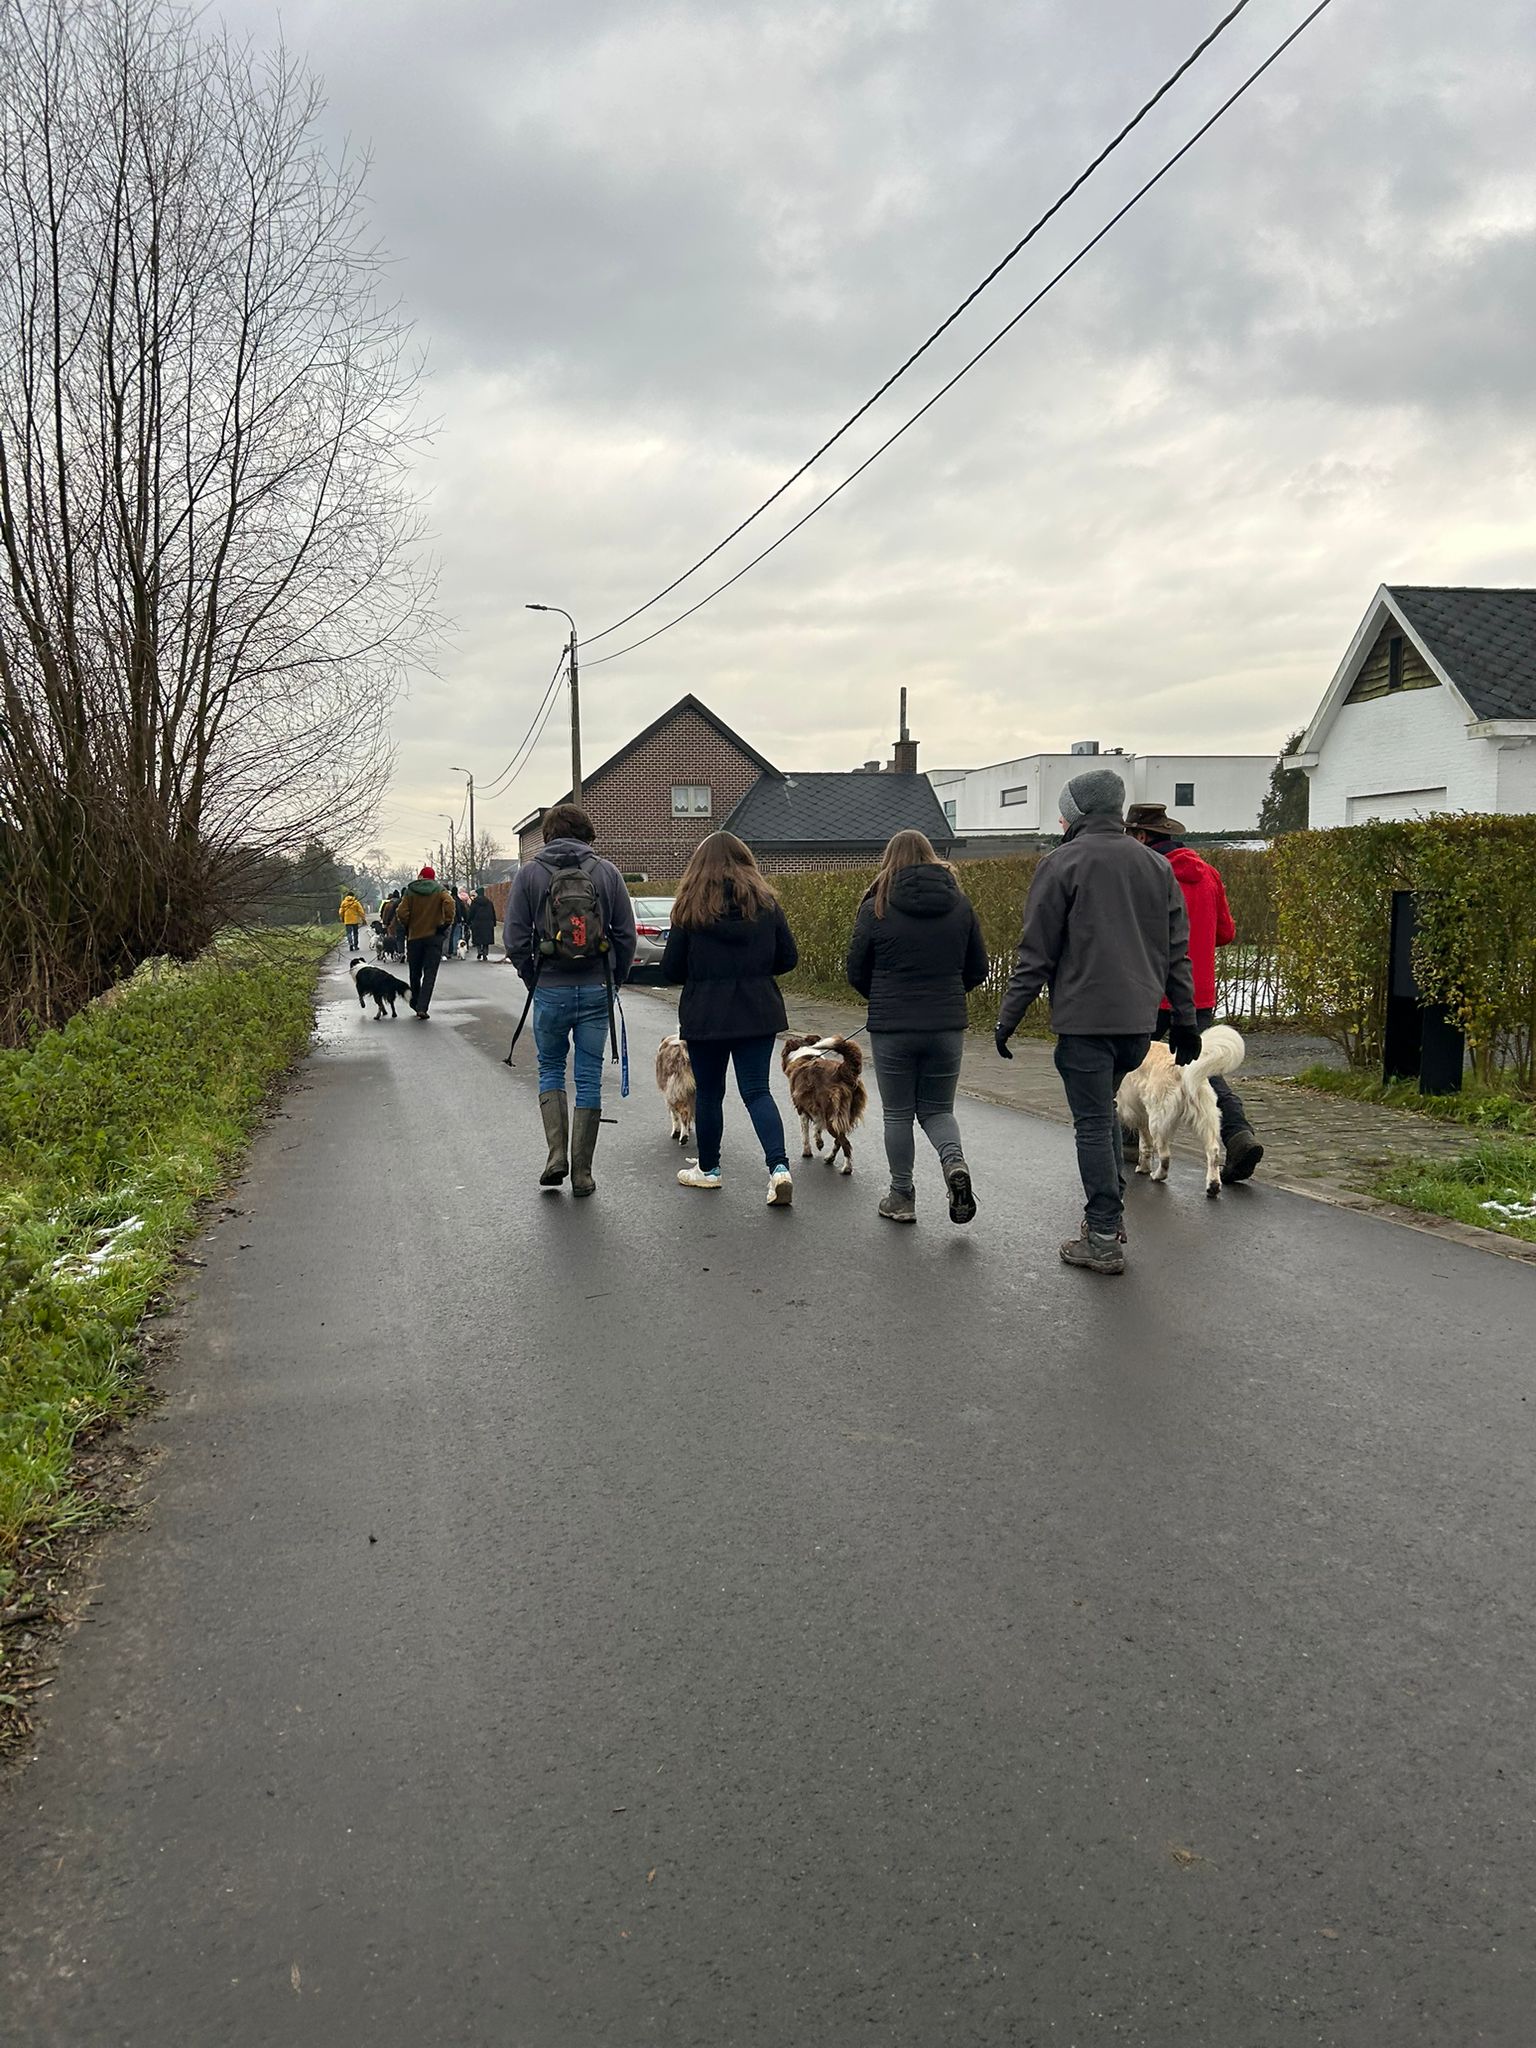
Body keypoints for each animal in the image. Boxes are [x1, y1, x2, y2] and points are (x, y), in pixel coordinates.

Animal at [780, 1033, 867, 1174]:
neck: (803, 1055)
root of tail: (842, 1071)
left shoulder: (801, 1108)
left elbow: (805, 1133)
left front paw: (807, 1151)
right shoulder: (816, 1108)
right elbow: (817, 1126)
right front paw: (818, 1141)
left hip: (832, 1116)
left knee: (845, 1143)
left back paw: (846, 1168)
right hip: (842, 1116)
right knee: (838, 1141)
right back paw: (830, 1158)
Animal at [1116, 1024, 1245, 1198]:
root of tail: (1181, 1066)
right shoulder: (1141, 1118)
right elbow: (1145, 1146)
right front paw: (1143, 1167)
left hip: (1158, 1121)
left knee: (1165, 1156)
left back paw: (1158, 1175)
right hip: (1205, 1117)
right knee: (1214, 1151)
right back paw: (1213, 1185)